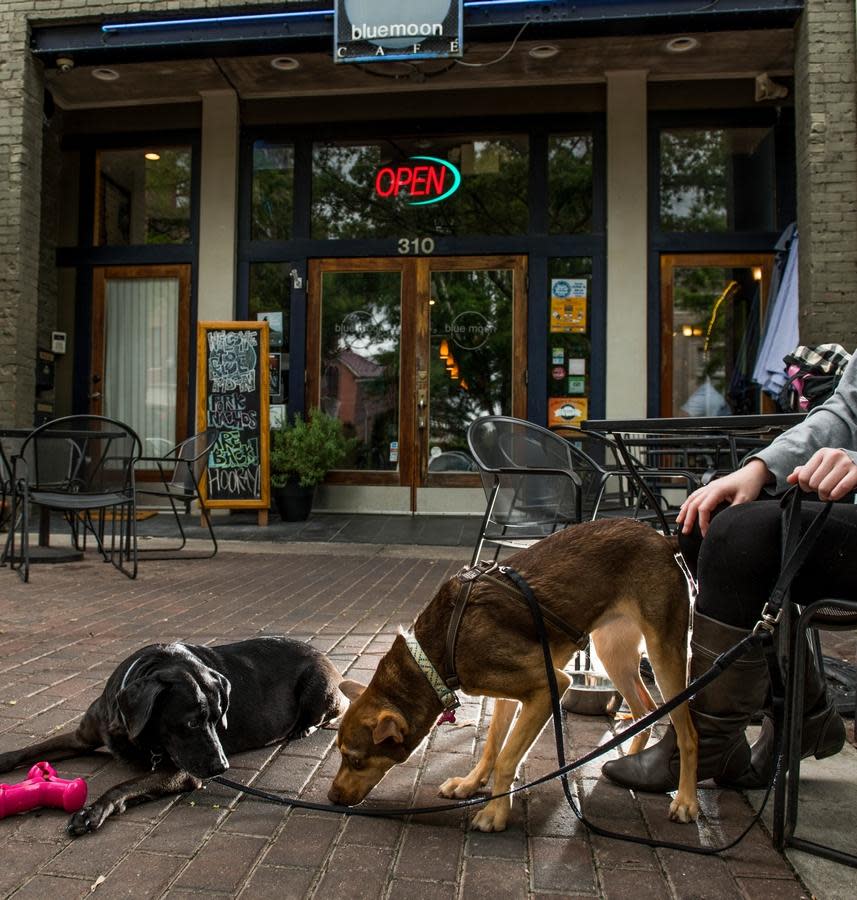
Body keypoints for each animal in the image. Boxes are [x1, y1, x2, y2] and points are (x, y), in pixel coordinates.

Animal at [0, 636, 344, 832]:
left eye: (219, 718)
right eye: (191, 723)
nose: (222, 768)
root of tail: (324, 654)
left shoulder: (180, 771)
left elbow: (123, 786)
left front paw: (93, 810)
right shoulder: (82, 738)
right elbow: (33, 749)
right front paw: (5, 758)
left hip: (318, 687)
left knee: (328, 714)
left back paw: (303, 728)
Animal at [328, 520, 696, 828]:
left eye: (356, 760)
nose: (331, 797)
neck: (433, 655)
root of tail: (661, 538)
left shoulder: (549, 687)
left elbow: (506, 758)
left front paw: (495, 812)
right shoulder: (508, 695)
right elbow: (492, 747)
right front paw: (470, 784)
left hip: (664, 655)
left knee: (687, 732)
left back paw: (686, 801)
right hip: (612, 653)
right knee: (646, 708)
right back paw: (631, 759)